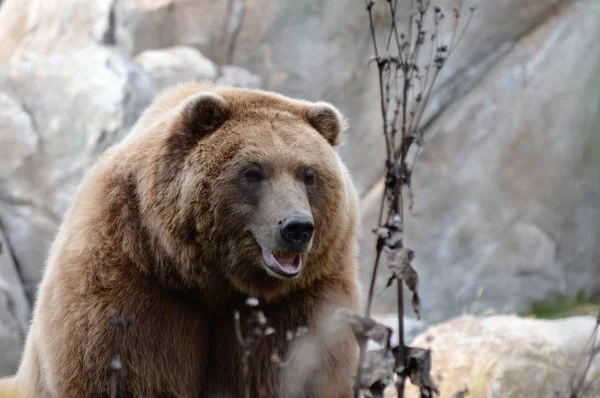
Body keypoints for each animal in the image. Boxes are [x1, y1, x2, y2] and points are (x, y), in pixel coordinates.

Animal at [5, 81, 360, 398]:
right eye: (253, 172)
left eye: (309, 174)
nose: (296, 227)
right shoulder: (130, 283)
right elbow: (116, 373)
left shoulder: (302, 300)